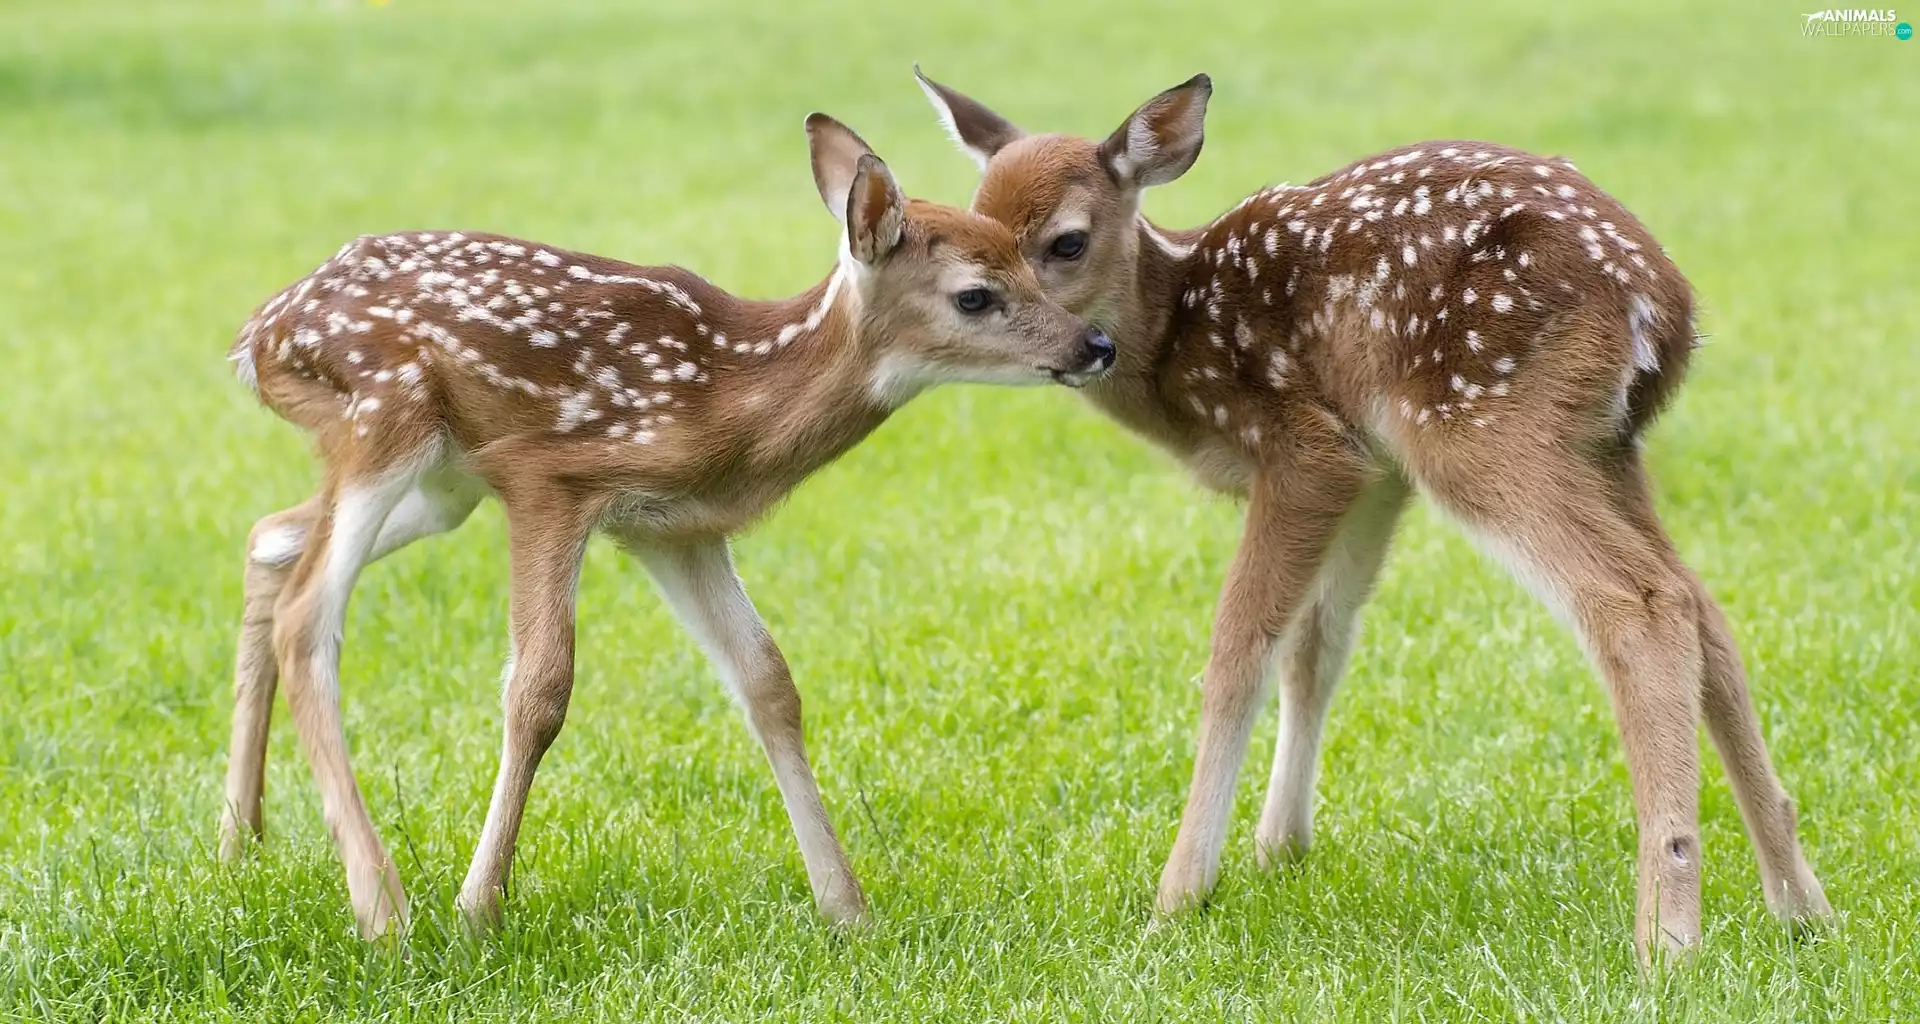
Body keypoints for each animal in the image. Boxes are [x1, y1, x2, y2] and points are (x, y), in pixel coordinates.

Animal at [216, 112, 1115, 940]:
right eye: (975, 294)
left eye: (1033, 259)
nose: (1096, 343)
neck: (730, 395)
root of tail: (256, 337)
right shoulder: (548, 478)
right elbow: (540, 690)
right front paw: (479, 911)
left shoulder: (674, 528)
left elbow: (768, 682)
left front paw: (847, 910)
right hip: (387, 409)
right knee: (308, 613)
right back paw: (384, 911)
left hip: (440, 482)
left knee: (270, 538)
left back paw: (240, 841)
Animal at [912, 69, 1832, 961]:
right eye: (981, 234)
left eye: (1065, 241)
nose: (1065, 347)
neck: (1179, 340)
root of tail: (1666, 308)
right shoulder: (1375, 471)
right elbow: (1317, 645)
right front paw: (1279, 848)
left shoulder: (1305, 448)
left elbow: (1239, 646)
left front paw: (1179, 897)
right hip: (1603, 445)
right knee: (1700, 604)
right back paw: (1799, 904)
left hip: (1478, 422)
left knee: (1639, 601)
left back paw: (1668, 939)